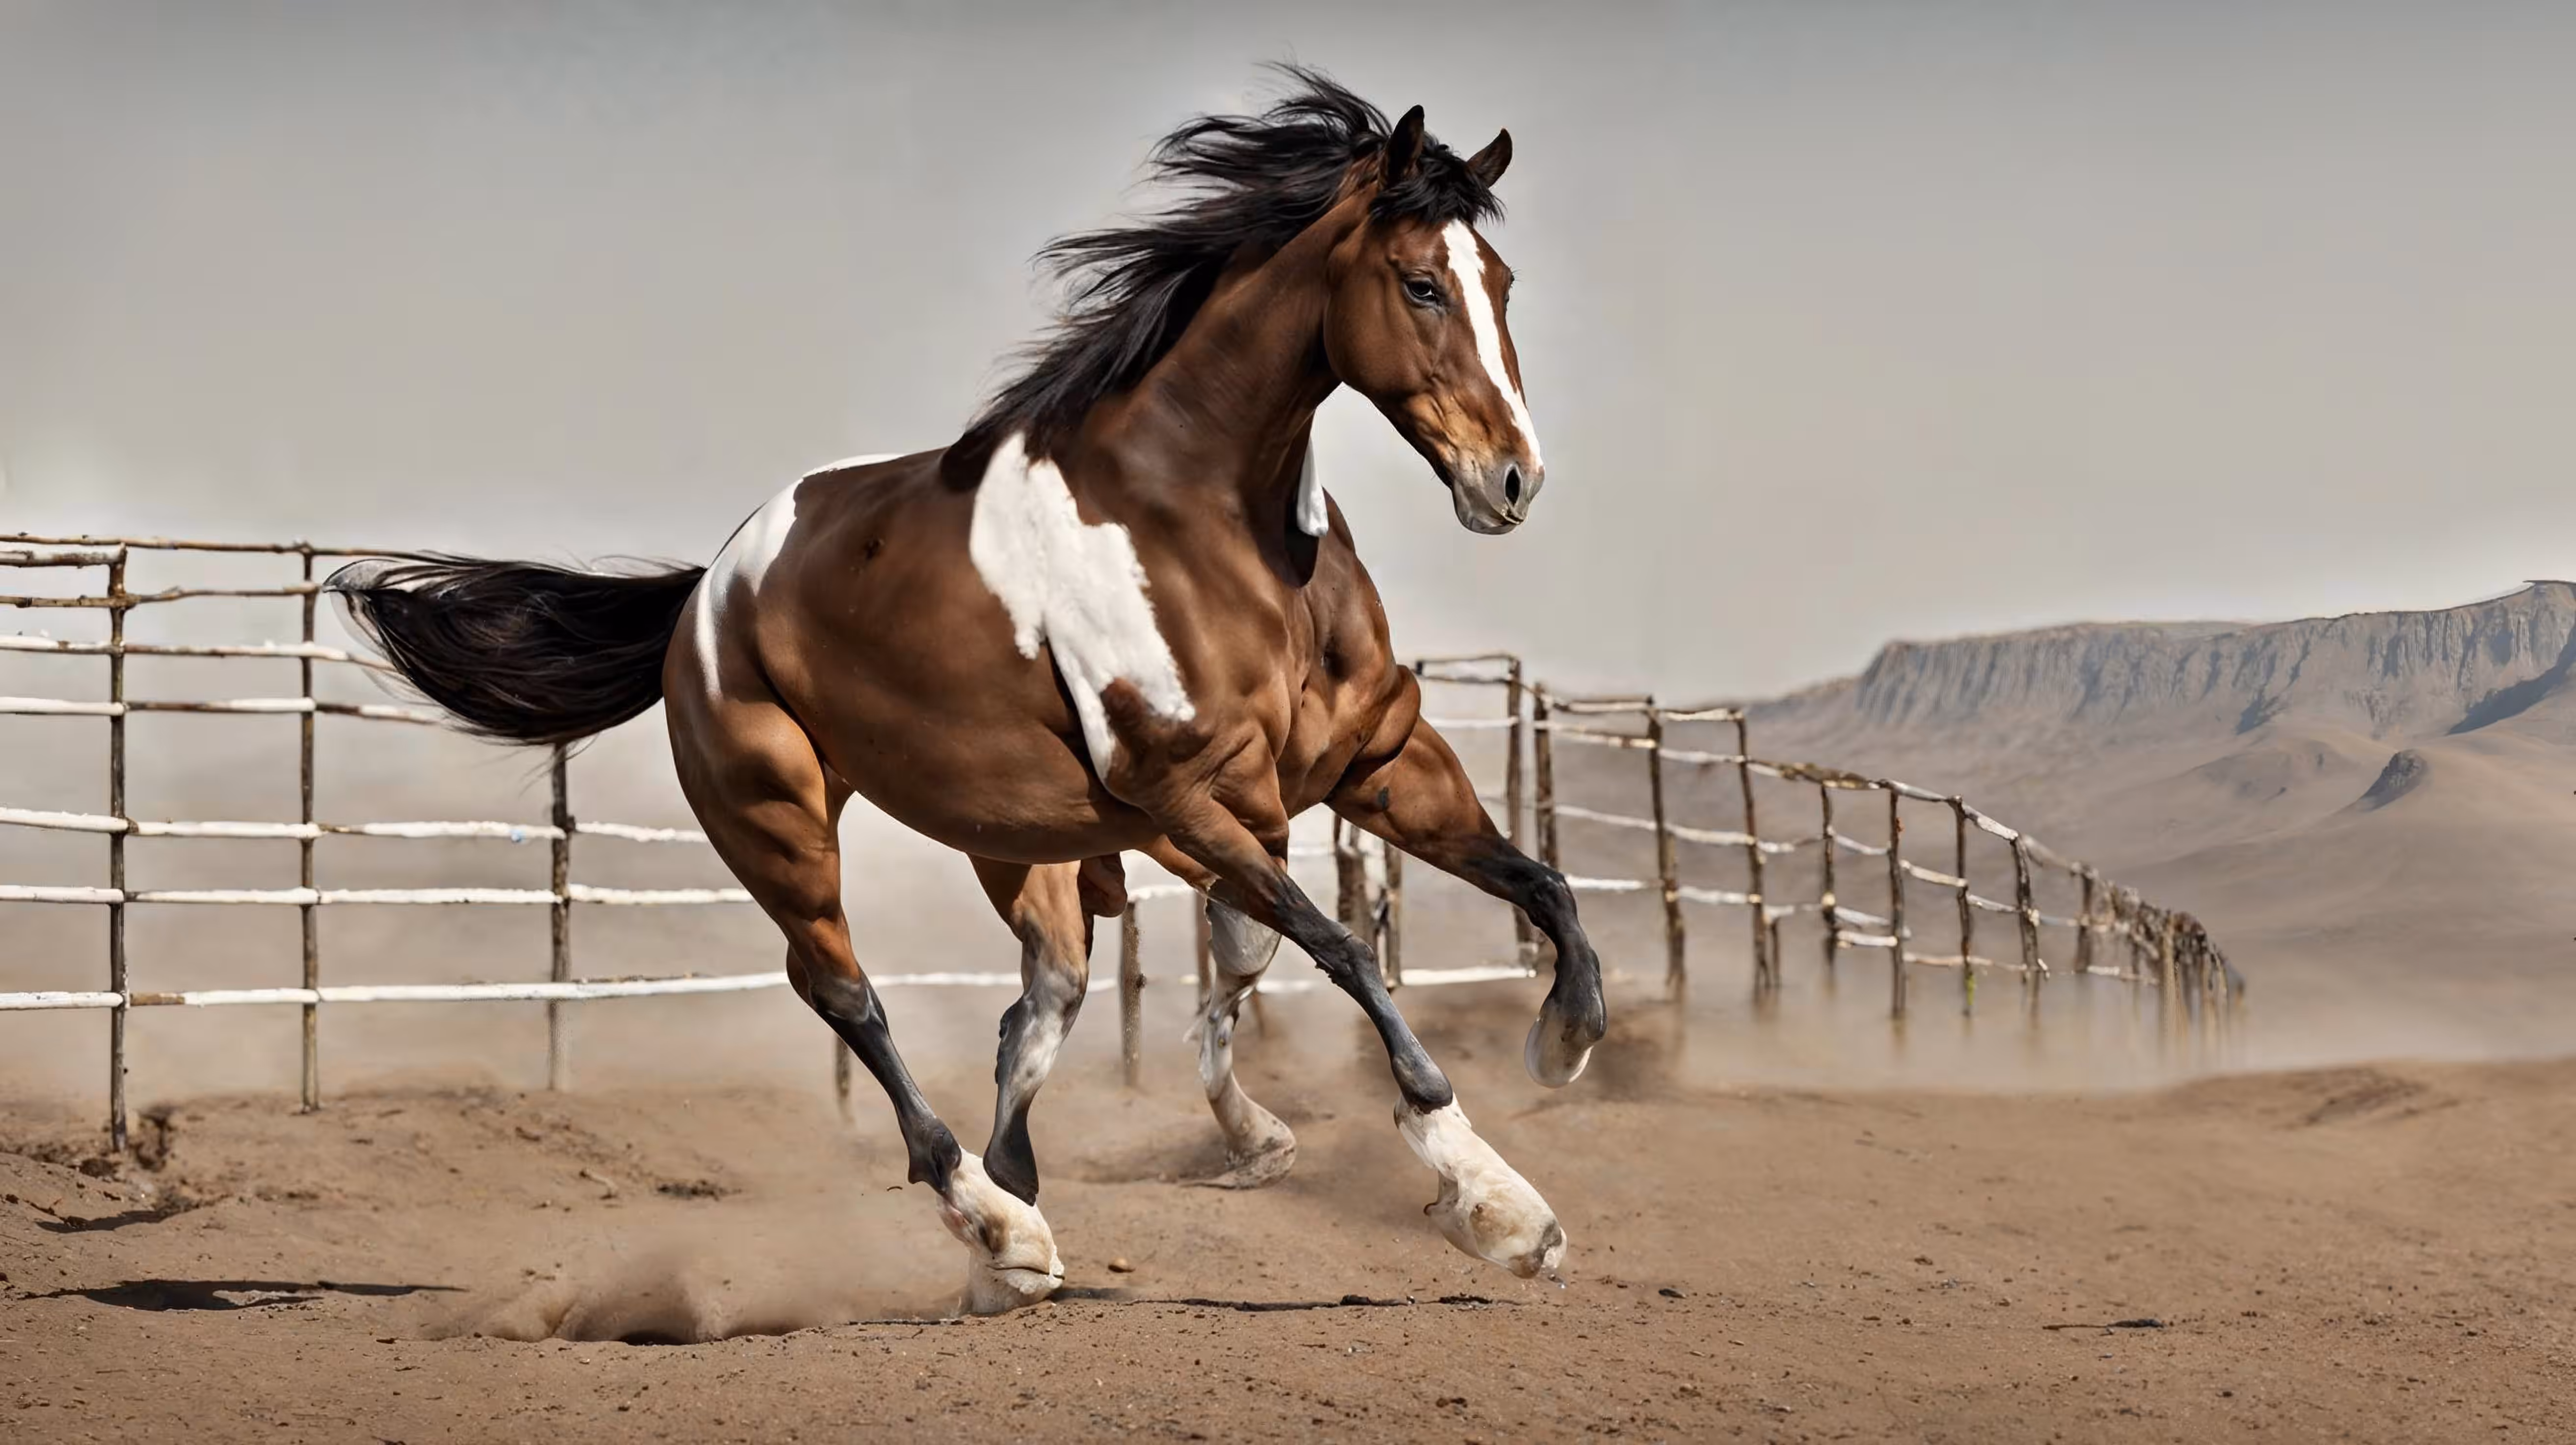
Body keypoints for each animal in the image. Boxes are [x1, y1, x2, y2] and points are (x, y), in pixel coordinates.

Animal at [330, 69, 1607, 1315]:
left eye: (1498, 281)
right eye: (1420, 284)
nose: (1512, 480)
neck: (1205, 525)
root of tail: (708, 592)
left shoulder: (1371, 762)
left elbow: (1523, 884)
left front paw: (1559, 1044)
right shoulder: (1189, 793)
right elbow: (1339, 947)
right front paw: (1496, 1203)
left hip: (1021, 843)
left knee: (1038, 1004)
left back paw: (1024, 1227)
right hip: (776, 816)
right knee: (844, 993)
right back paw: (1000, 1229)